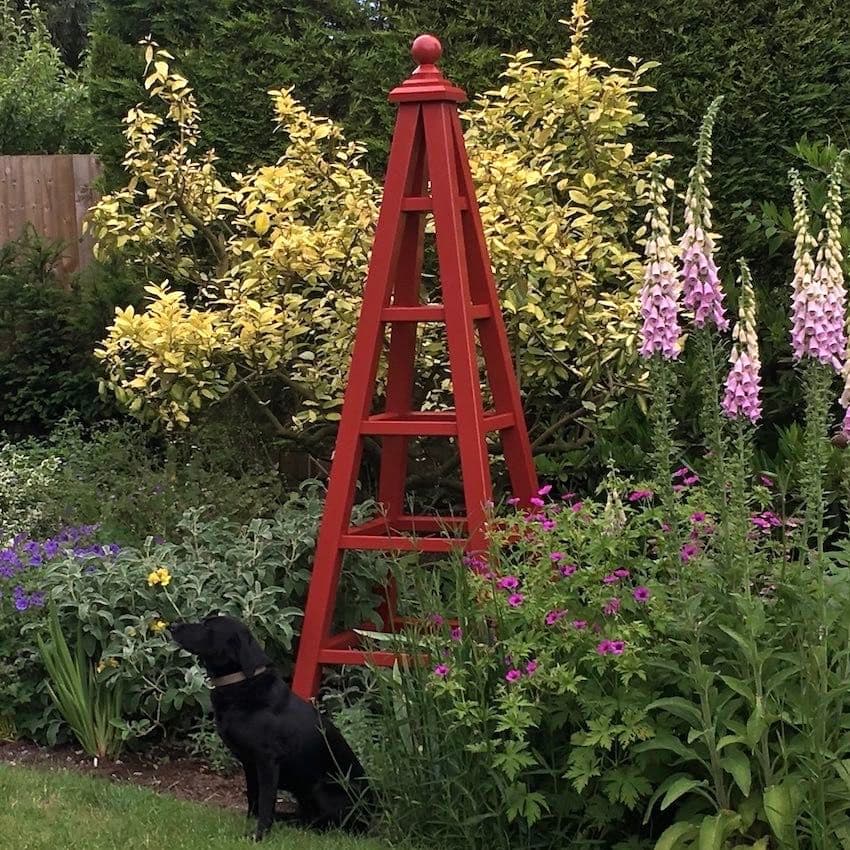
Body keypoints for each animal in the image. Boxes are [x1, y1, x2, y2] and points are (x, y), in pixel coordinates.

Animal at [171, 612, 370, 840]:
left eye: (207, 627)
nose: (172, 626)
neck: (241, 683)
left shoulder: (267, 761)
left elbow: (266, 801)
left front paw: (259, 835)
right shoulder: (249, 763)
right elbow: (253, 797)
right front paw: (251, 821)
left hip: (323, 790)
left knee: (327, 824)